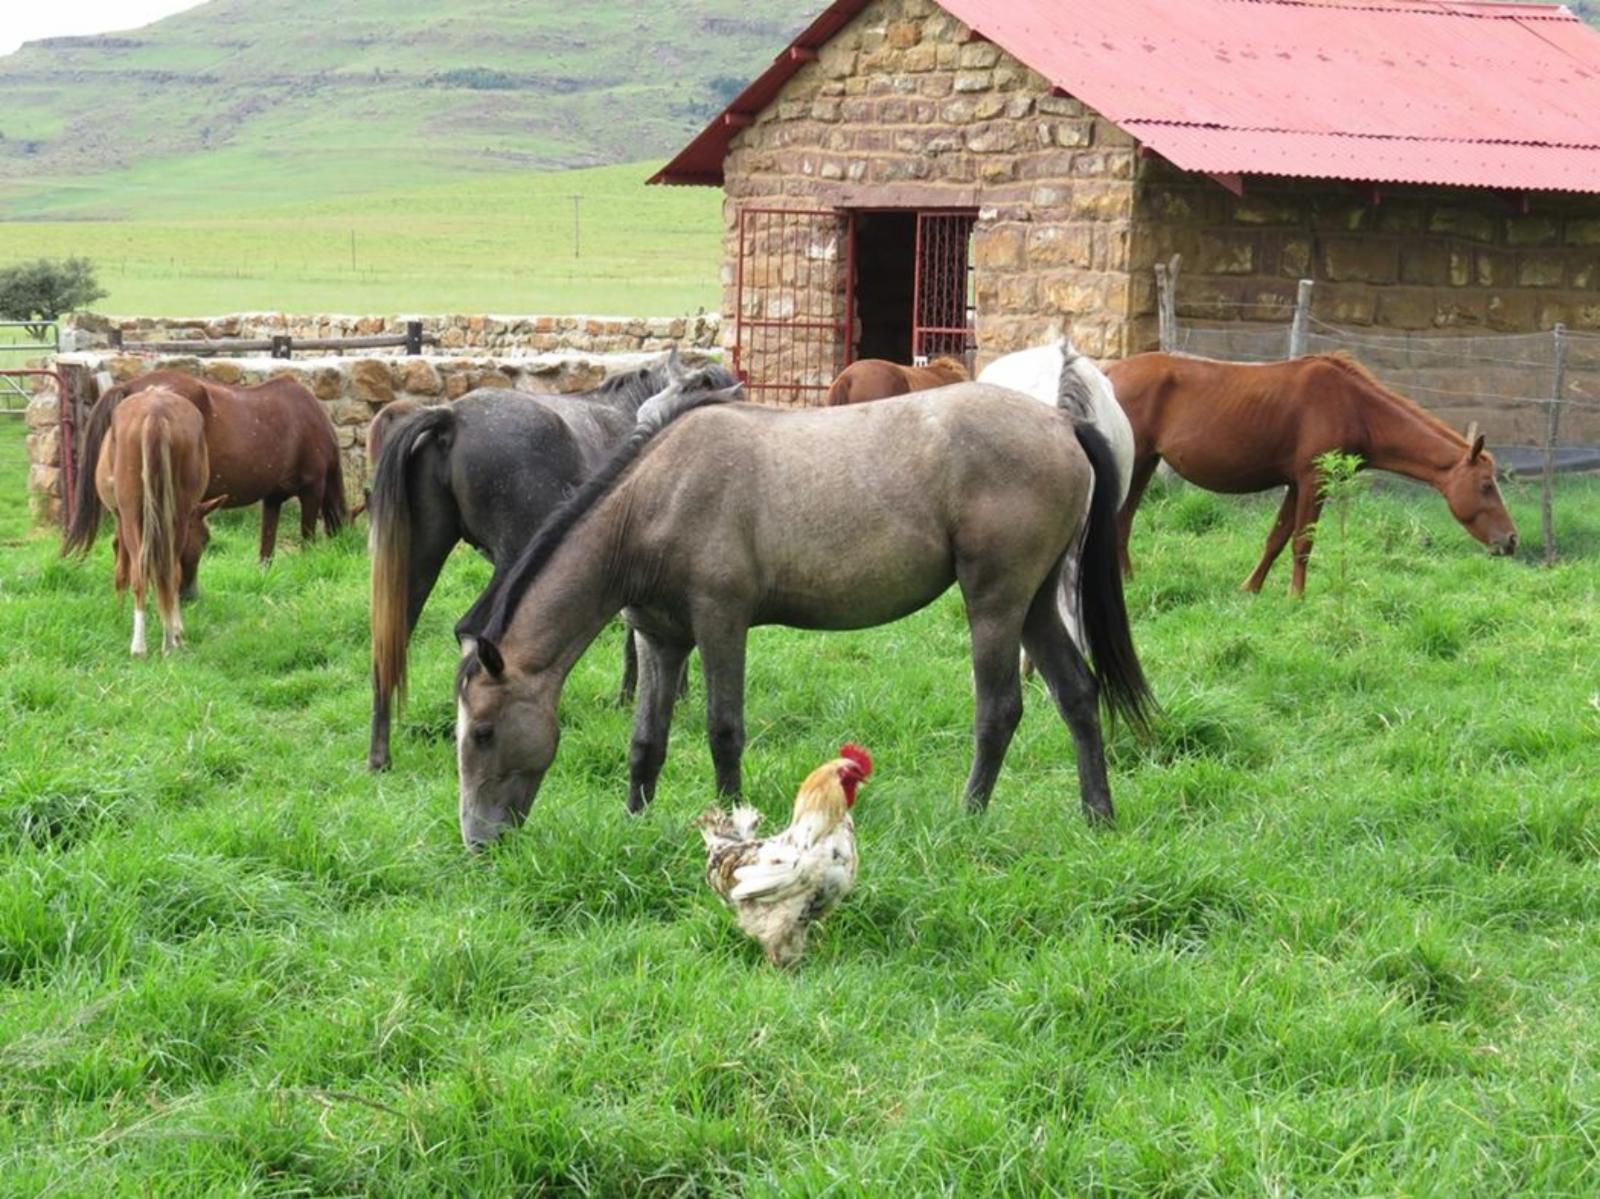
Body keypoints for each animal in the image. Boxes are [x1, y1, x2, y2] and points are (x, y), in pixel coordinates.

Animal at [95, 385, 228, 656]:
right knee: (168, 572)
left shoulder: (120, 519)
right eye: (206, 539)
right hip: (176, 513)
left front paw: (118, 613)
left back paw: (141, 645)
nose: (191, 595)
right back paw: (169, 641)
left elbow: (121, 566)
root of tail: (155, 412)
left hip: (133, 513)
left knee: (142, 573)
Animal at [451, 369, 1152, 845]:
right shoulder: (660, 638)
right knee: (1077, 693)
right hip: (1034, 603)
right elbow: (647, 740)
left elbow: (723, 731)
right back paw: (1098, 814)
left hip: (996, 601)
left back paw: (970, 814)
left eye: (483, 731)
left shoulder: (721, 623)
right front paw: (635, 824)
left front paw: (731, 826)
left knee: (1000, 709)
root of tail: (1062, 424)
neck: (656, 497)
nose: (479, 842)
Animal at [1107, 350, 1516, 595]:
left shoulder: (1294, 483)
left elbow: (1277, 538)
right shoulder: (1312, 480)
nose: (1511, 540)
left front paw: (1251, 589)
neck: (1355, 406)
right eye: (1486, 485)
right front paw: (1296, 597)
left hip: (1144, 464)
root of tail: (1109, 372)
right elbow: (1302, 542)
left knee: (1123, 522)